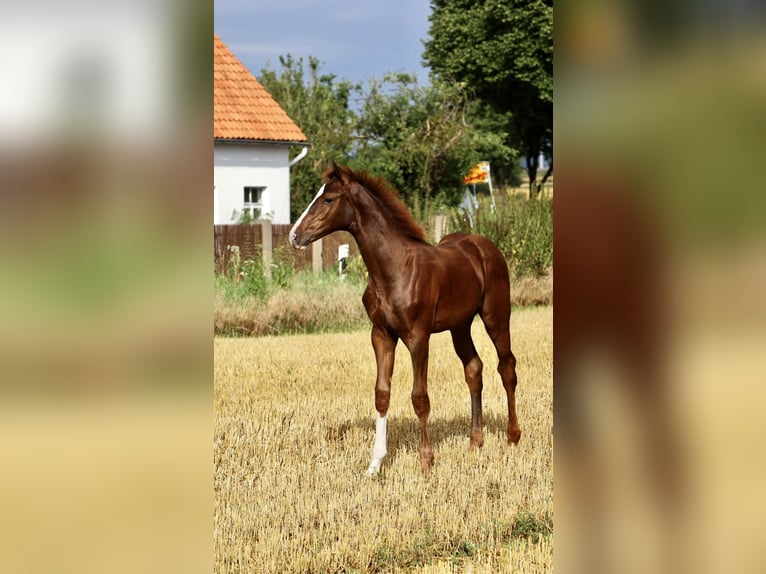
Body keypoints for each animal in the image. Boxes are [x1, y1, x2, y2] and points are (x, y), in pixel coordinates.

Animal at [290, 164, 520, 474]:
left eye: (328, 199)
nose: (295, 236)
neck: (394, 268)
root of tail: (485, 246)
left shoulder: (417, 337)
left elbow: (419, 397)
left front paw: (426, 460)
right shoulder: (381, 334)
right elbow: (382, 393)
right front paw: (375, 464)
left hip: (495, 315)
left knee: (506, 367)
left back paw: (512, 437)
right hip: (459, 326)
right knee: (474, 368)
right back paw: (475, 442)